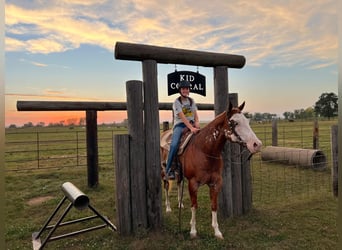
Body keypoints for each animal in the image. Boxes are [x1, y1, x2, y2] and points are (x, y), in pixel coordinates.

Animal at [160, 101, 262, 238]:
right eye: (234, 122)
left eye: (247, 121)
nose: (257, 144)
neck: (204, 150)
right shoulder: (193, 183)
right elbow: (194, 206)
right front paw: (193, 231)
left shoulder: (216, 183)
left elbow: (214, 206)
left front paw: (217, 232)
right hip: (164, 172)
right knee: (166, 186)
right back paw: (168, 208)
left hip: (180, 174)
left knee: (179, 183)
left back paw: (180, 204)